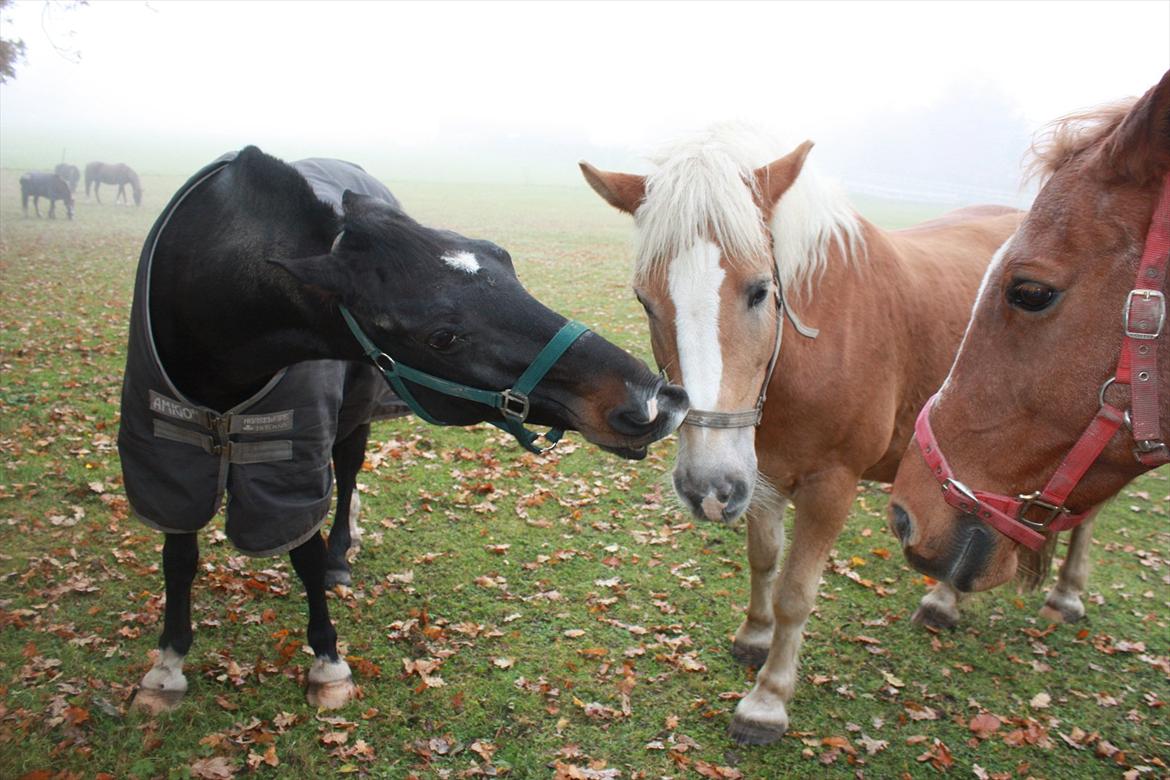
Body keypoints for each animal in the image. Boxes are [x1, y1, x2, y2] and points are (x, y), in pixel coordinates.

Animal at [118, 145, 683, 715]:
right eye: (442, 337)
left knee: (346, 474)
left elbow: (306, 554)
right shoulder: (167, 450)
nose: (654, 399)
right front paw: (166, 668)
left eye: (503, 259)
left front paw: (327, 662)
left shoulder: (289, 460)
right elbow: (180, 557)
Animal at [580, 125, 1048, 748]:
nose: (705, 485)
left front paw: (767, 701)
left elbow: (796, 594)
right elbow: (763, 561)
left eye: (759, 290)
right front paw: (754, 637)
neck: (812, 348)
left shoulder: (831, 485)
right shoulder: (760, 475)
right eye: (644, 300)